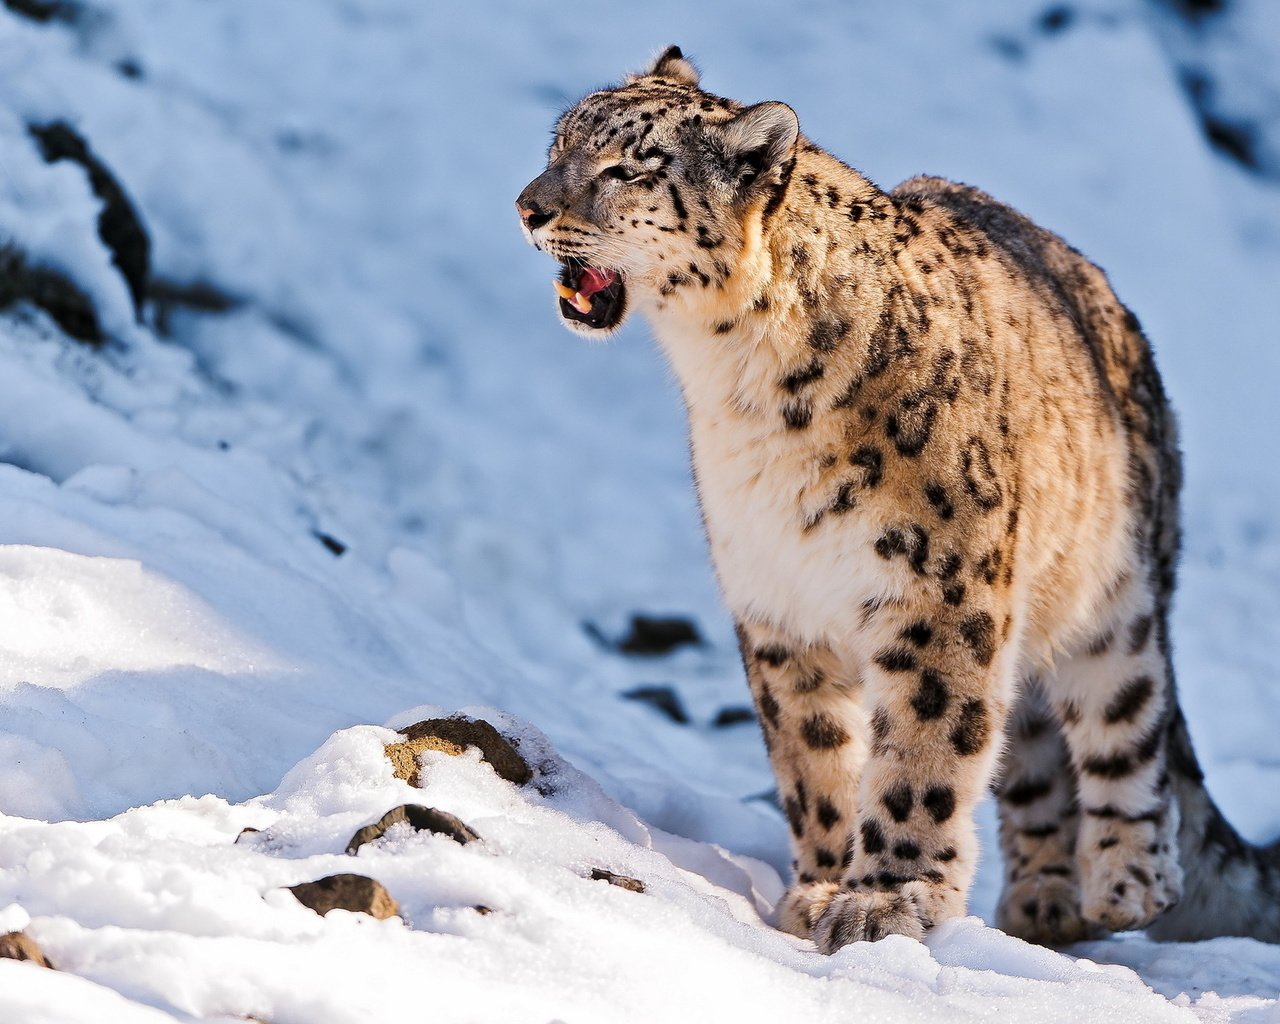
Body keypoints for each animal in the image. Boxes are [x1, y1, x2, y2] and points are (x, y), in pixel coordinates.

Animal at [512, 46, 1280, 942]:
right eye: (559, 142)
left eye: (627, 166)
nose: (527, 206)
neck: (739, 389)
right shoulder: (777, 600)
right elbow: (811, 756)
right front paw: (820, 887)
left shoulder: (938, 589)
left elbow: (924, 742)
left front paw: (886, 899)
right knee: (1031, 747)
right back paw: (1042, 901)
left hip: (1109, 592)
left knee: (1130, 716)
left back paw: (1126, 879)